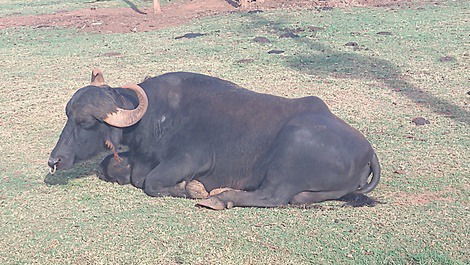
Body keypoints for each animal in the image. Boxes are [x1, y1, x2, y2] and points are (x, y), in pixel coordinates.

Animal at [47, 69, 380, 209]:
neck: (155, 116)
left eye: (85, 121)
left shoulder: (189, 159)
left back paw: (219, 197)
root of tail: (367, 150)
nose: (54, 160)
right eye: (67, 114)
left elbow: (150, 182)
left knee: (273, 196)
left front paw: (191, 189)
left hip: (289, 156)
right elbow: (110, 166)